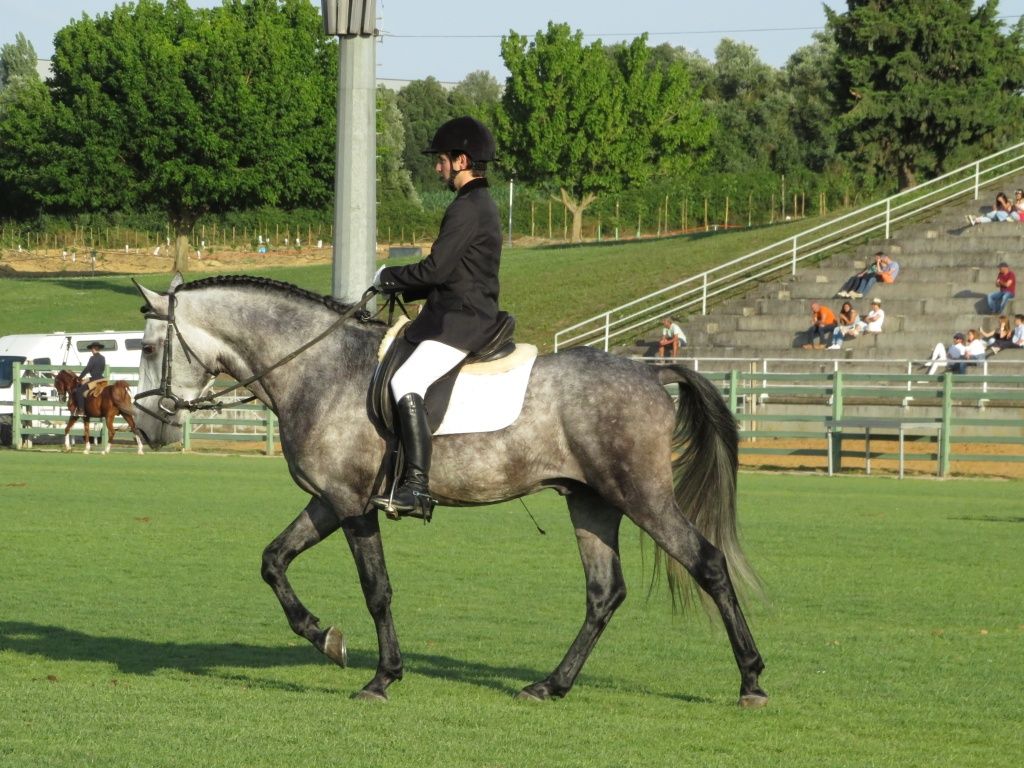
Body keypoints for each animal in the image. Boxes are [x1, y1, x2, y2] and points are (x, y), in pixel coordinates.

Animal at [130, 274, 770, 708]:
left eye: (148, 348)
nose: (146, 428)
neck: (318, 367)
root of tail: (649, 371)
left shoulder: (352, 506)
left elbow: (377, 590)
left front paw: (381, 677)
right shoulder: (329, 500)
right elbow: (273, 561)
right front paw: (326, 639)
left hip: (642, 497)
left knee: (707, 564)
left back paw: (752, 679)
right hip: (592, 504)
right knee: (603, 593)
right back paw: (551, 685)